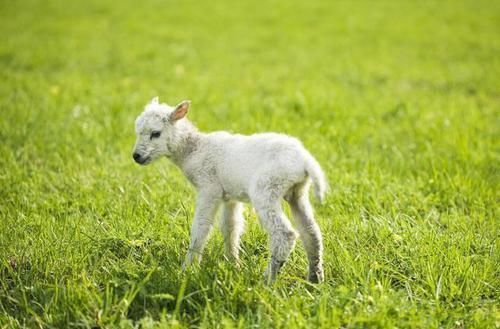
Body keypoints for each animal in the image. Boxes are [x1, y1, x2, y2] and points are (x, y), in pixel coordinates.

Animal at [133, 96, 328, 282]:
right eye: (137, 132)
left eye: (156, 133)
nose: (136, 156)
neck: (194, 149)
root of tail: (305, 160)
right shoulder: (230, 196)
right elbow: (231, 228)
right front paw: (234, 265)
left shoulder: (209, 188)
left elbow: (200, 228)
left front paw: (187, 269)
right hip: (297, 192)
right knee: (311, 232)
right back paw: (315, 278)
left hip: (266, 188)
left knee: (284, 234)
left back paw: (268, 279)